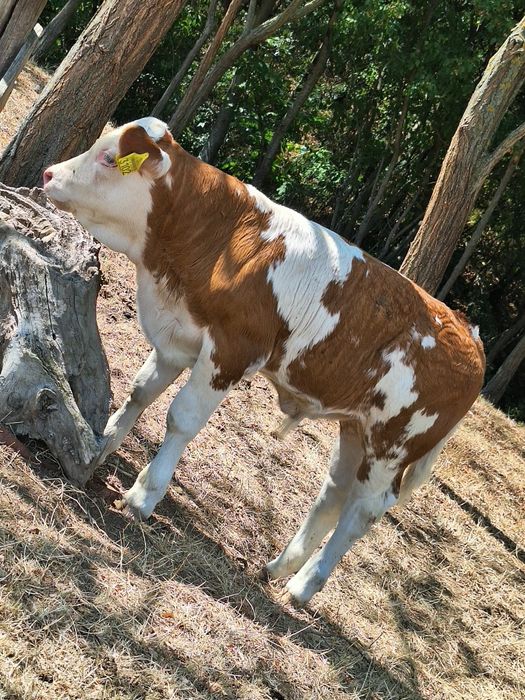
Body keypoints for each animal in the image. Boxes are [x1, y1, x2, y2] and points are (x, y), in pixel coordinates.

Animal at [43, 117, 485, 605]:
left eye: (108, 157)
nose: (48, 173)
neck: (223, 237)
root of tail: (467, 334)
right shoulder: (177, 333)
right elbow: (140, 393)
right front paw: (100, 446)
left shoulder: (232, 351)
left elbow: (181, 418)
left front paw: (143, 496)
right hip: (356, 429)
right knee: (335, 492)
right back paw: (279, 567)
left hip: (393, 444)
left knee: (362, 511)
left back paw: (304, 586)